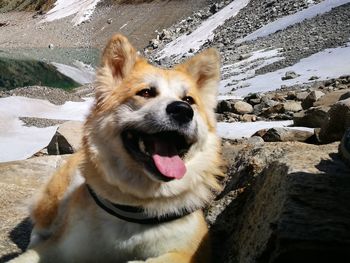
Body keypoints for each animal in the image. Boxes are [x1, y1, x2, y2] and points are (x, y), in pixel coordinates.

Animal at [10, 34, 224, 262]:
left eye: (189, 100)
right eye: (146, 92)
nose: (182, 110)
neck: (135, 209)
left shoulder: (191, 249)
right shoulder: (61, 245)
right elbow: (30, 255)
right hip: (56, 198)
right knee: (40, 227)